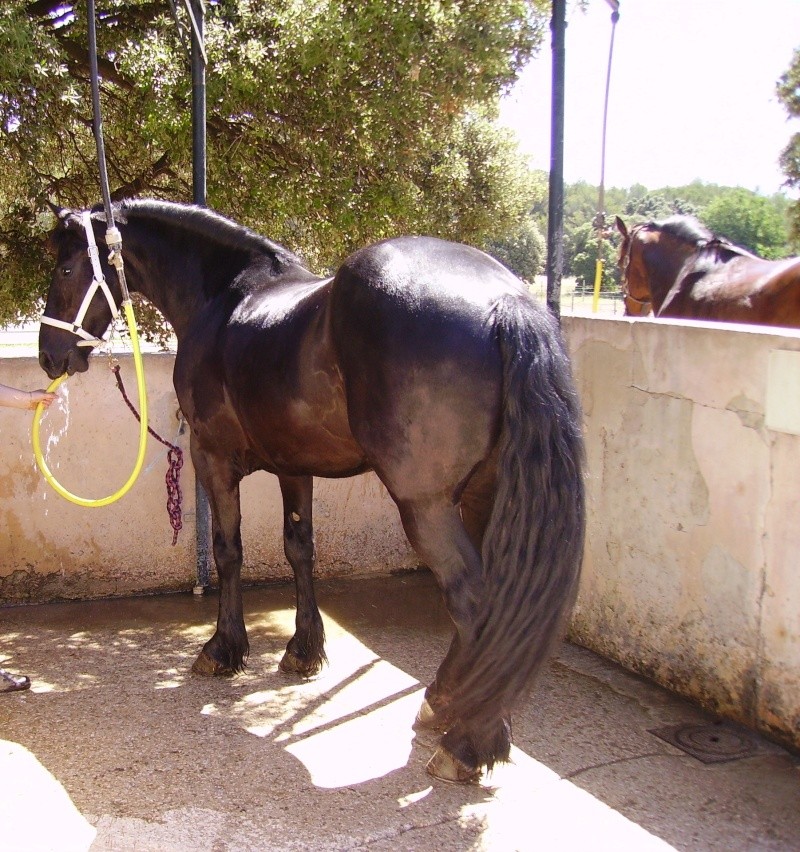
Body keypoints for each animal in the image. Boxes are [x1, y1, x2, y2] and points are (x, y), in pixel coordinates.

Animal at [39, 198, 588, 780]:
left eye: (67, 268)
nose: (49, 355)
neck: (224, 298)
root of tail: (504, 300)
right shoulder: (294, 466)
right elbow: (299, 548)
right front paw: (303, 651)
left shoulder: (212, 460)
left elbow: (228, 551)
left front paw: (223, 649)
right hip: (485, 495)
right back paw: (447, 705)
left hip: (427, 507)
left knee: (474, 602)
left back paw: (466, 741)